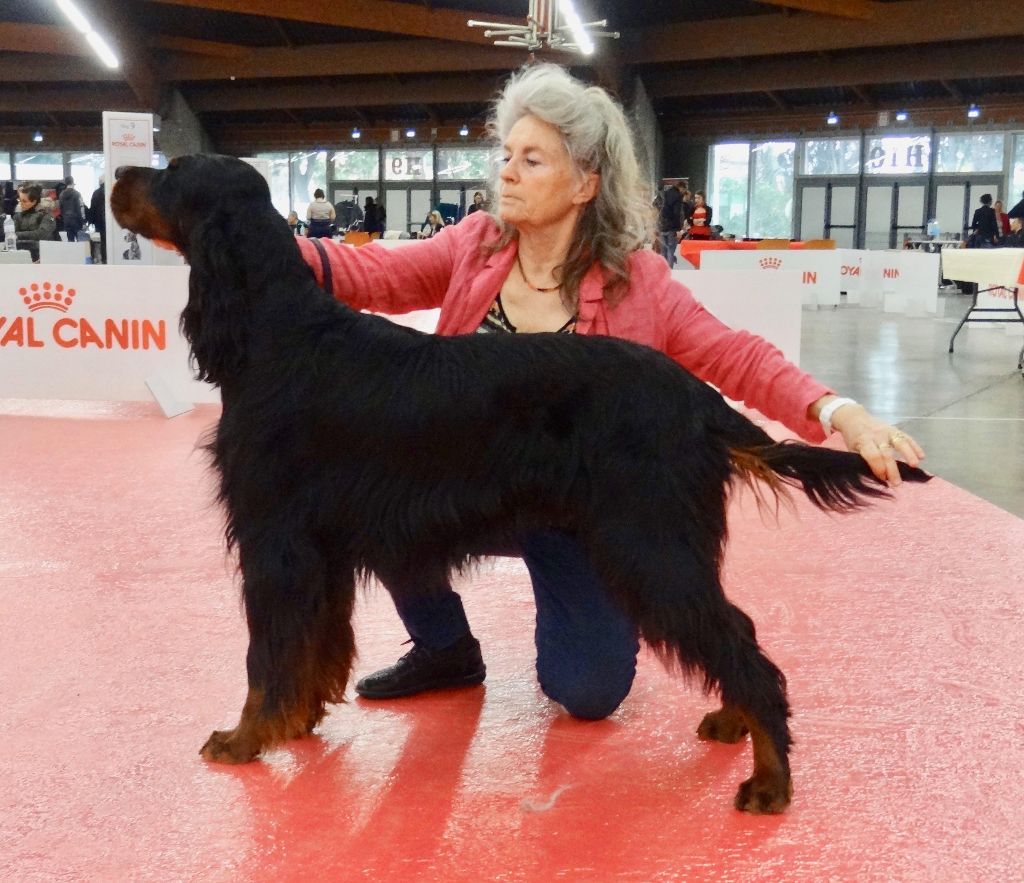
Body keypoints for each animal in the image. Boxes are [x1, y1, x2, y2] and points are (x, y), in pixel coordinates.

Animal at [110, 153, 929, 815]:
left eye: (171, 173)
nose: (115, 173)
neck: (277, 333)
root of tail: (698, 397)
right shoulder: (322, 545)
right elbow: (314, 647)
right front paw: (300, 720)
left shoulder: (274, 538)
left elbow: (265, 656)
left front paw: (245, 736)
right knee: (740, 632)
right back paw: (735, 723)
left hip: (649, 546)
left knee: (740, 644)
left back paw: (770, 781)